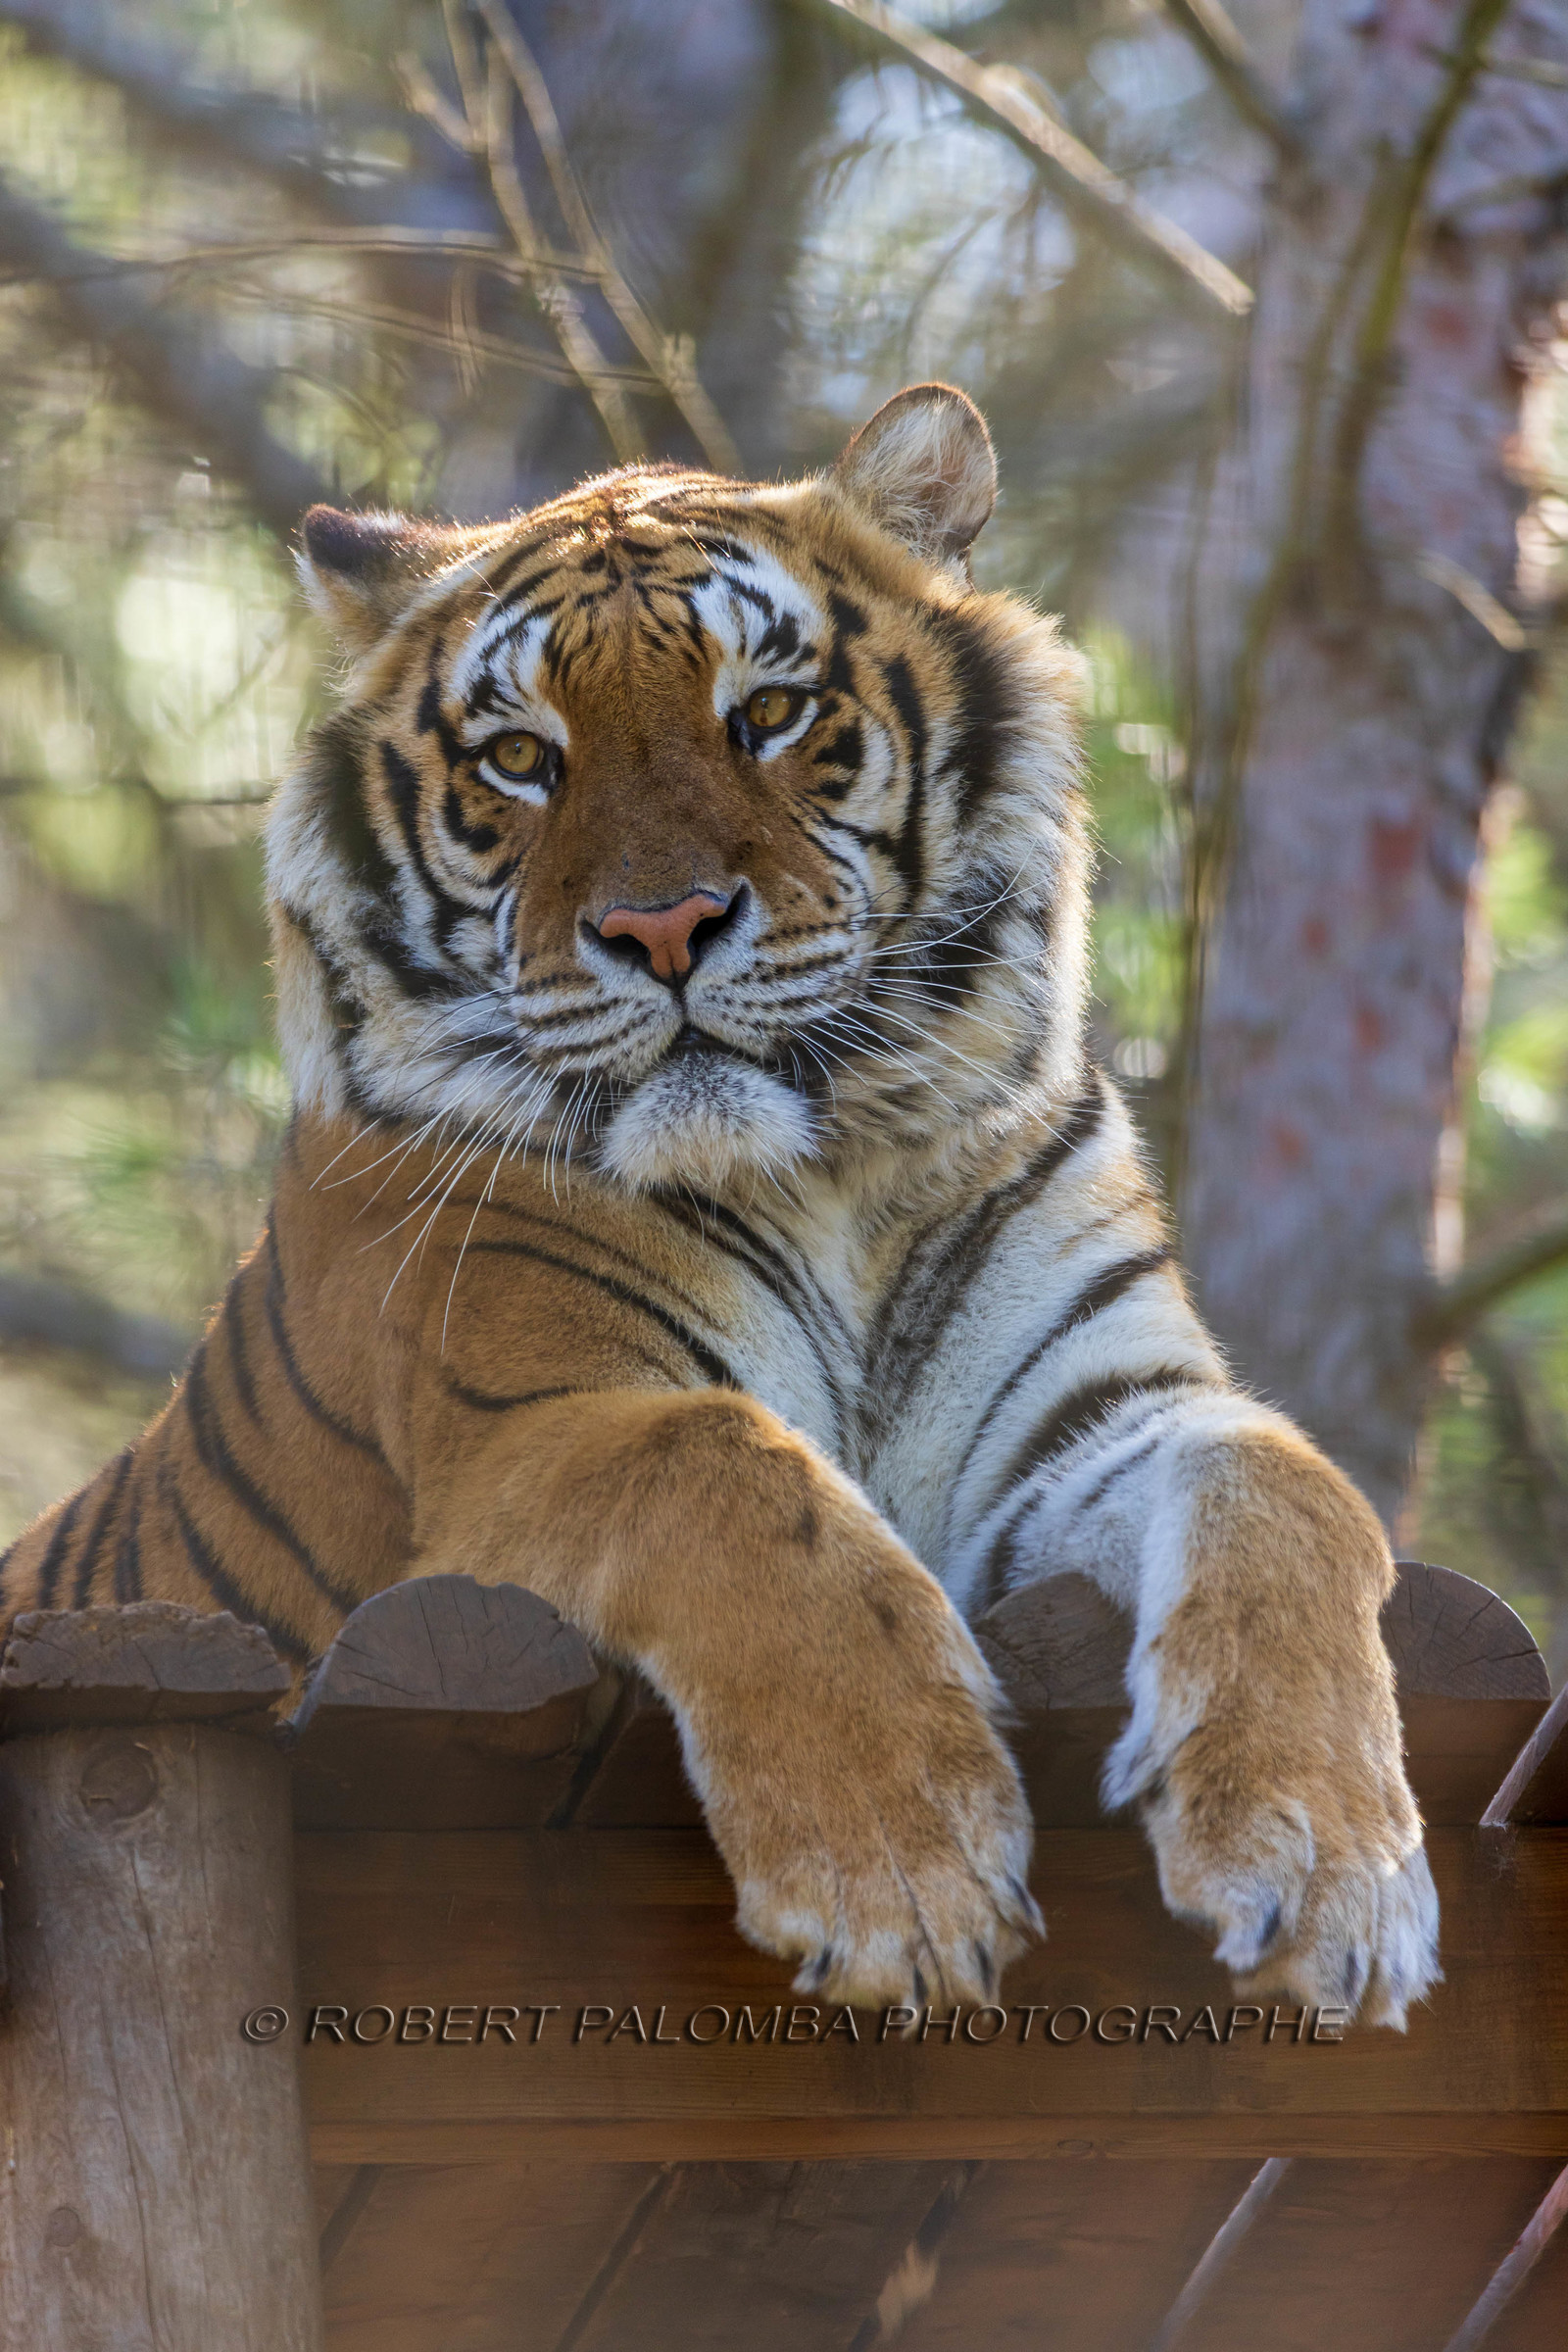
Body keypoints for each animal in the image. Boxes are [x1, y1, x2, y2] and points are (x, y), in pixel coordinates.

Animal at [0, 382, 1438, 2024]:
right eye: (521, 757)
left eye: (769, 715)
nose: (663, 927)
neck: (833, 1177)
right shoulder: (526, 1429)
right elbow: (729, 1464)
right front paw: (900, 1874)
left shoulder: (1092, 1416)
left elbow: (1289, 1488)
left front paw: (1330, 1869)